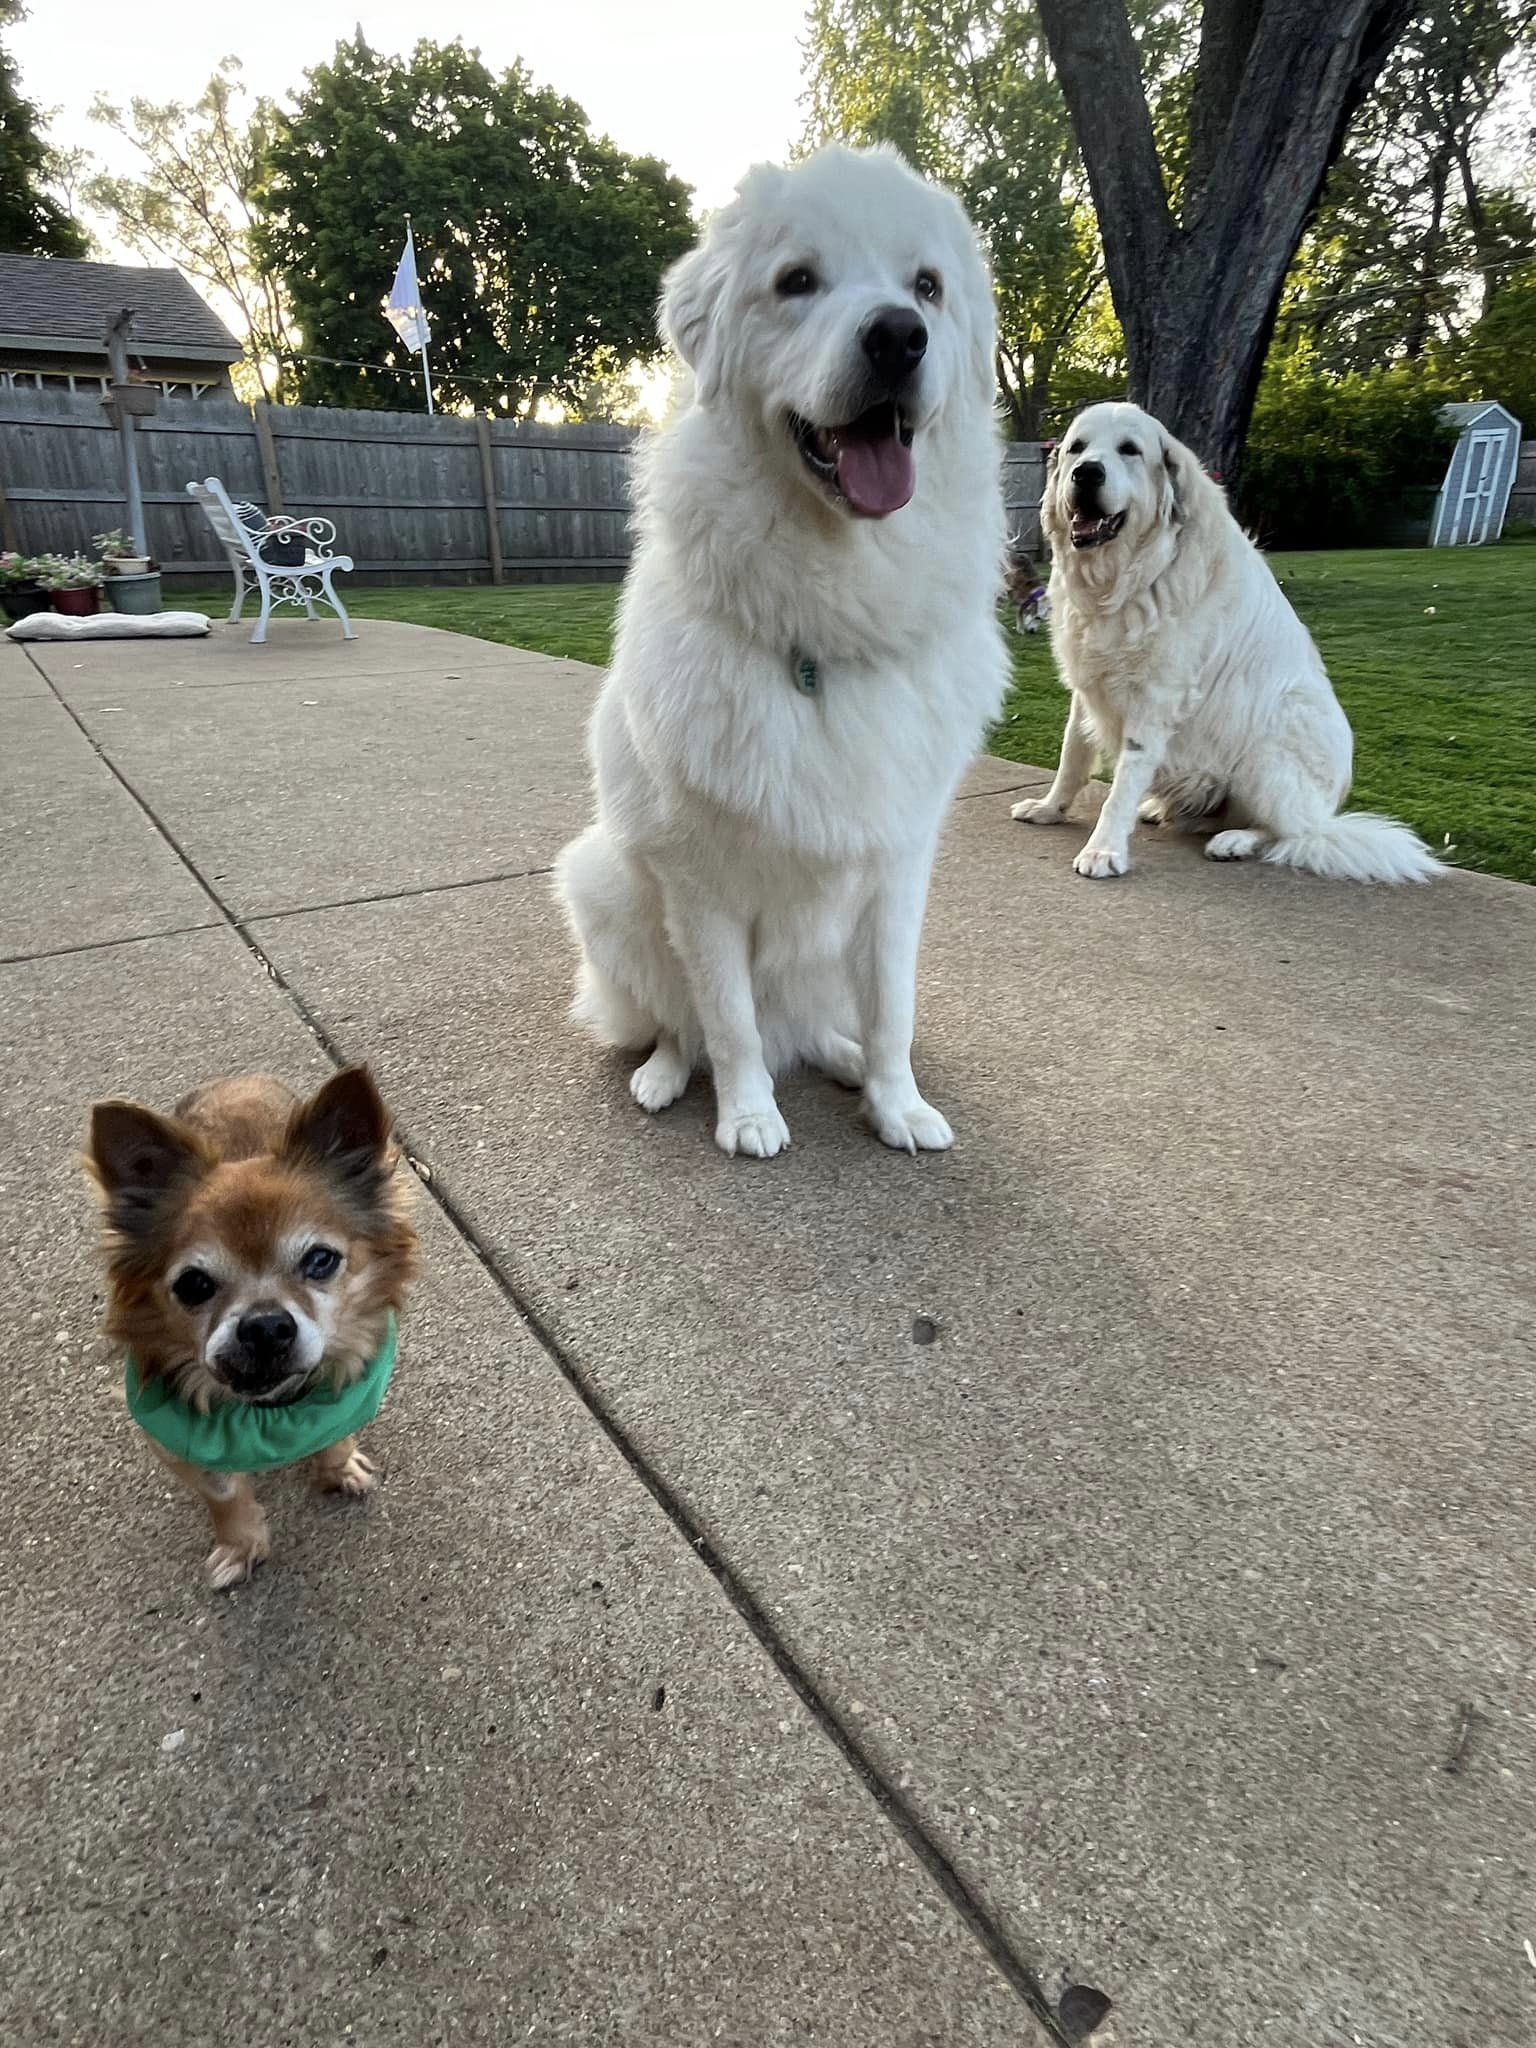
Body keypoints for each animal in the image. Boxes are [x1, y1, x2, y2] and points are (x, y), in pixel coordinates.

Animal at [86, 1064, 417, 1589]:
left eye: (321, 1260)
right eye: (193, 1284)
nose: (265, 1326)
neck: (270, 1410)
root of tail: (236, 1080)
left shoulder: (344, 1392)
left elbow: (335, 1433)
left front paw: (339, 1466)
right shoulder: (177, 1445)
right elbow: (224, 1494)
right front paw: (242, 1545)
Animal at [552, 148, 1011, 1155]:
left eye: (927, 286)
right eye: (797, 281)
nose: (900, 337)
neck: (825, 626)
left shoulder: (896, 872)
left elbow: (893, 1011)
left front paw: (896, 1105)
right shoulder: (700, 884)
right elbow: (728, 1019)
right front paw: (749, 1115)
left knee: (811, 1025)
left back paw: (837, 1058)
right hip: (605, 884)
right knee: (683, 1023)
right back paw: (663, 1076)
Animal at [1015, 399, 1441, 880]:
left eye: (1129, 450)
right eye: (1077, 448)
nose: (1087, 473)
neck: (1129, 576)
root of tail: (1329, 814)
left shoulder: (1155, 698)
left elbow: (1121, 784)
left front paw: (1104, 850)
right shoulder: (1090, 682)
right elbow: (1072, 756)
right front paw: (1050, 808)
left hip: (1267, 753)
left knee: (1290, 834)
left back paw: (1234, 840)